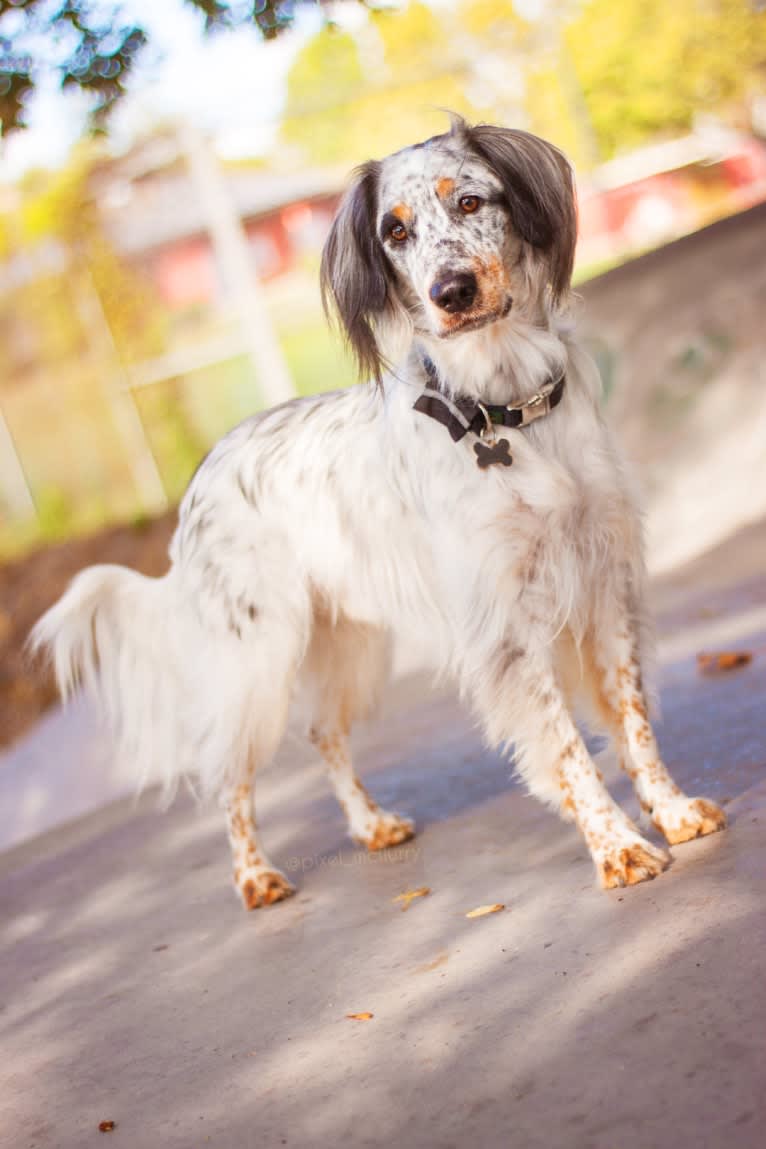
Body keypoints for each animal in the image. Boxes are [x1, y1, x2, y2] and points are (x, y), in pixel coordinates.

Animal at [31, 116, 725, 905]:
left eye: (469, 202)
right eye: (394, 231)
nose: (450, 290)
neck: (507, 414)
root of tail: (204, 474)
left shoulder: (606, 584)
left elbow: (634, 722)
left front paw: (670, 811)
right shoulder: (507, 627)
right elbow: (569, 748)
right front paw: (616, 845)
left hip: (348, 644)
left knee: (323, 734)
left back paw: (370, 825)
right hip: (257, 659)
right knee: (229, 772)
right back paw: (255, 875)